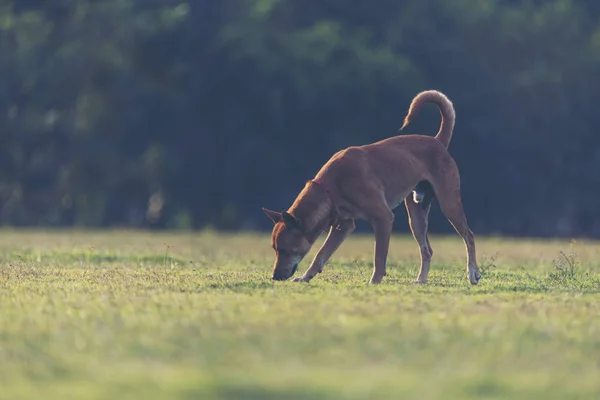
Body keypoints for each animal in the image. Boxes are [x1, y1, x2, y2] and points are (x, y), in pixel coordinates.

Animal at [260, 90, 480, 284]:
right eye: (274, 249)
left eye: (284, 249)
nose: (275, 277)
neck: (331, 188)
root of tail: (437, 142)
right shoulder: (343, 226)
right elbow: (320, 255)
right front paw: (306, 277)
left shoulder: (383, 218)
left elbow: (379, 258)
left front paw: (374, 281)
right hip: (416, 214)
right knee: (427, 250)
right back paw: (421, 280)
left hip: (449, 203)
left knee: (469, 236)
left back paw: (473, 273)